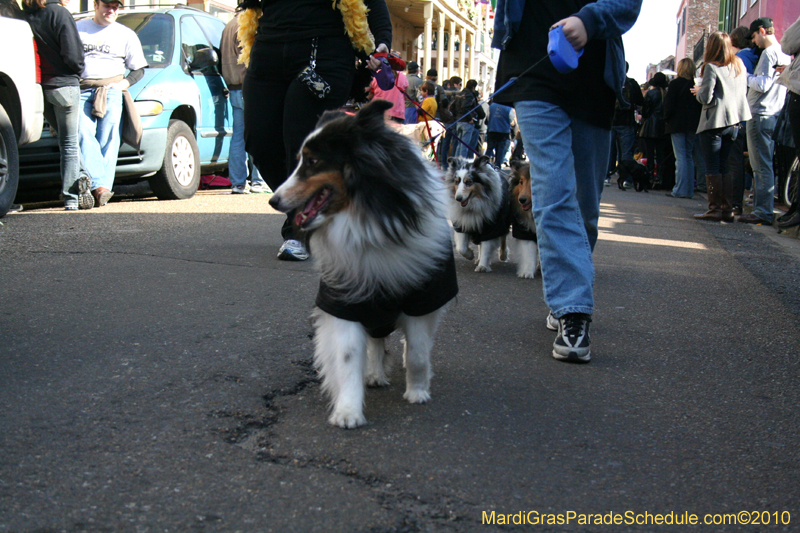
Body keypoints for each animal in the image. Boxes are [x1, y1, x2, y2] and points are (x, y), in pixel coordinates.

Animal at [268, 100, 456, 428]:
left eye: (313, 161)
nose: (273, 201)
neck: (366, 219)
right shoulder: (344, 301)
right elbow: (348, 357)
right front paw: (348, 411)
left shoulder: (423, 299)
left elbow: (417, 353)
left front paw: (418, 392)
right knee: (375, 342)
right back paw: (374, 374)